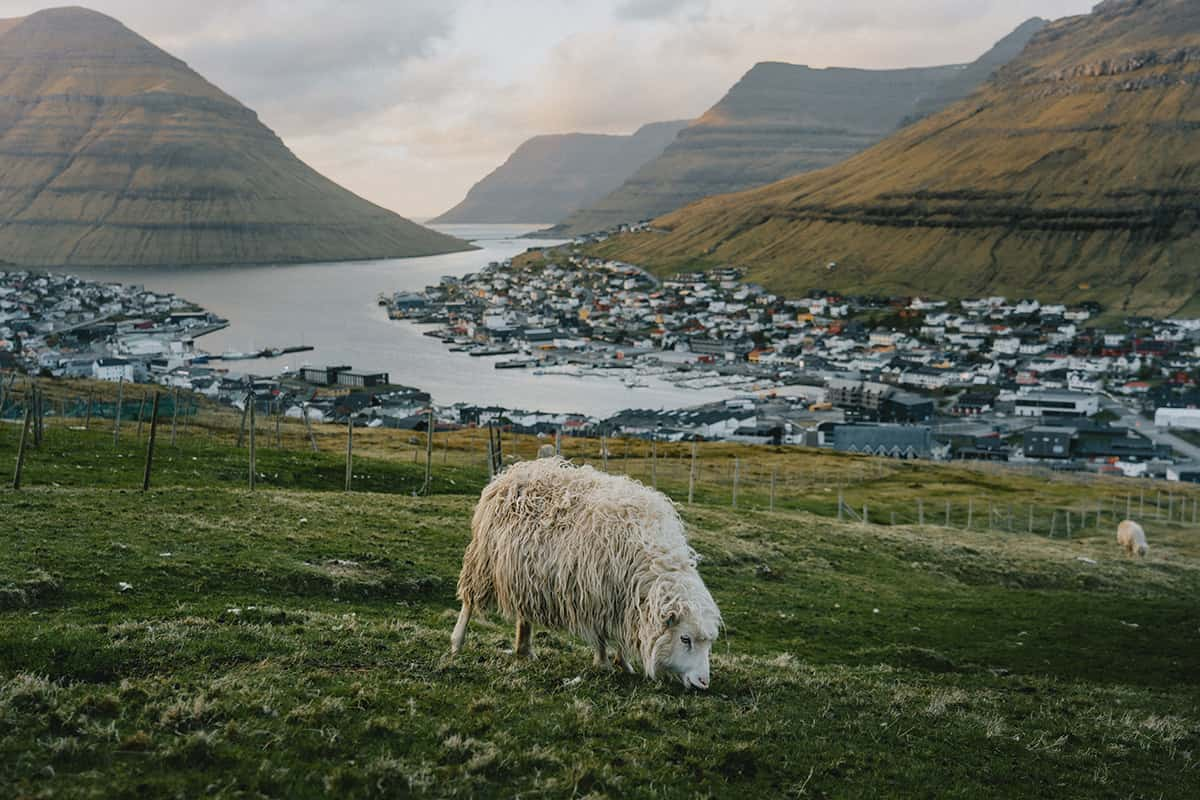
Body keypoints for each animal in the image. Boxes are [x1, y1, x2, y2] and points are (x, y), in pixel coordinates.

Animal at [448, 455, 710, 690]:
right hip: (483, 561)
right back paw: (456, 643)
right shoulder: (598, 592)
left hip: (524, 572)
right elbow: (601, 634)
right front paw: (604, 663)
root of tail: (509, 473)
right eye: (685, 639)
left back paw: (525, 650)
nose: (704, 682)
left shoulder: (622, 599)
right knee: (469, 602)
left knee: (523, 612)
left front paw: (624, 663)